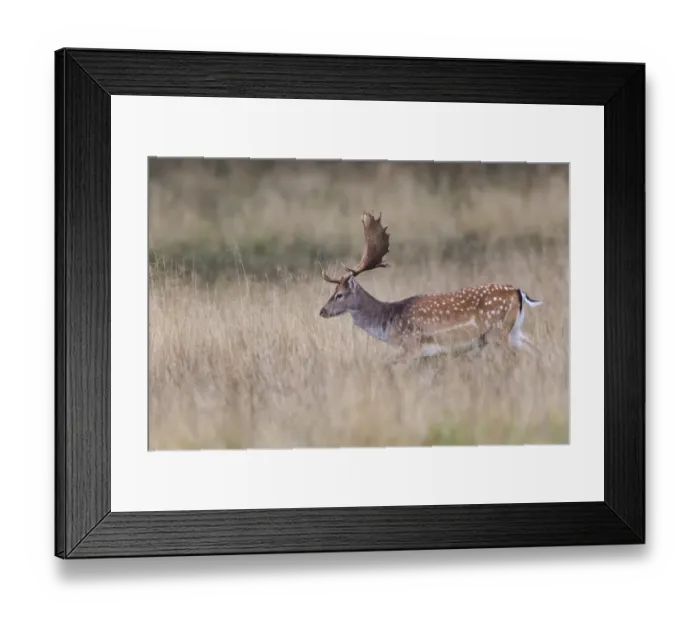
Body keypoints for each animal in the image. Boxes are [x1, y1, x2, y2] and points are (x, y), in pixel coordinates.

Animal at [318, 211, 544, 363]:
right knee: (537, 350)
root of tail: (519, 292)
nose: (322, 311)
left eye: (339, 294)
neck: (389, 322)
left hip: (497, 331)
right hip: (514, 331)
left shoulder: (413, 345)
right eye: (332, 292)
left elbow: (388, 364)